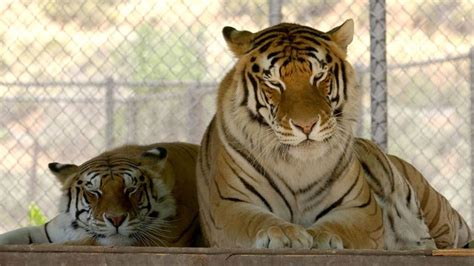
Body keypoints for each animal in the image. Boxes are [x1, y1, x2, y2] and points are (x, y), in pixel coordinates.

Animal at [194, 19, 472, 250]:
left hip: (434, 207)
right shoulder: (229, 204)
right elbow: (259, 220)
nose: (306, 125)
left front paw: (320, 236)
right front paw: (286, 234)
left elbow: (339, 226)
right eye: (274, 83)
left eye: (319, 76)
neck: (297, 166)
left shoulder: (360, 208)